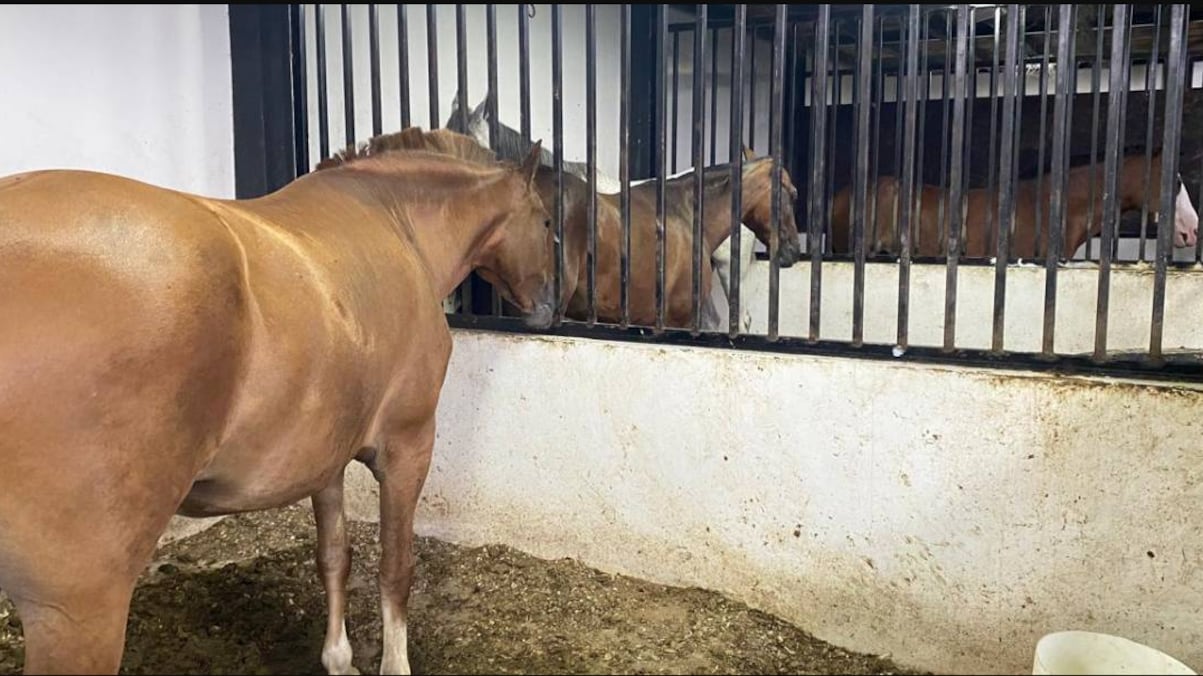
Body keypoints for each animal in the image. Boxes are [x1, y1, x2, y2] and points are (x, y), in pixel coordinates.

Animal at [0, 126, 557, 675]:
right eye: (548, 220)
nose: (549, 309)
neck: (395, 223)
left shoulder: (325, 457)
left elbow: (334, 556)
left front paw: (338, 659)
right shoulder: (407, 448)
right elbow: (395, 568)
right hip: (79, 612)